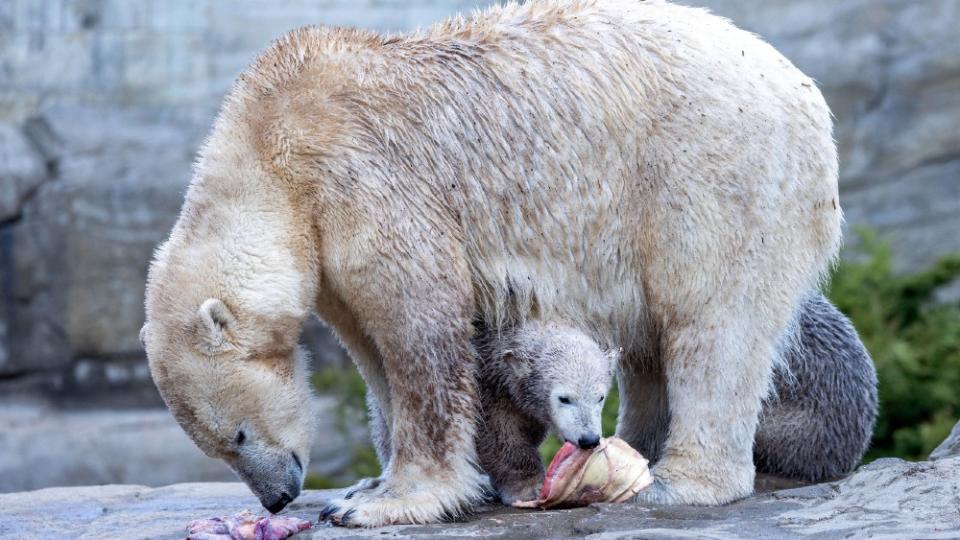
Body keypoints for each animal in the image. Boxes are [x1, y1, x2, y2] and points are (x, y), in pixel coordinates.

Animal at [141, 0, 840, 528]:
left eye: (234, 435)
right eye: (215, 445)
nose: (278, 497)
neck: (271, 138)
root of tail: (807, 97)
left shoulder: (361, 177)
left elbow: (421, 331)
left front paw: (392, 501)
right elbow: (371, 350)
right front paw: (366, 486)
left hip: (714, 171)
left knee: (713, 322)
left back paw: (681, 481)